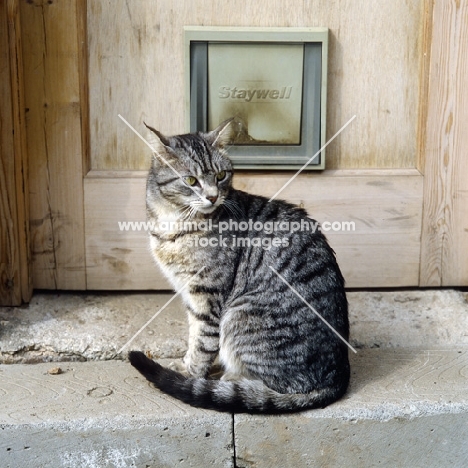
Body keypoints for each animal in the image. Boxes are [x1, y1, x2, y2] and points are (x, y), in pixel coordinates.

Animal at [130, 119, 350, 414]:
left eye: (221, 175)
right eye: (191, 180)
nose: (213, 197)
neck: (173, 224)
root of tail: (338, 377)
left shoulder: (207, 294)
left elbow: (203, 342)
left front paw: (190, 374)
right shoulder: (190, 294)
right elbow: (194, 335)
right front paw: (187, 363)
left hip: (239, 315)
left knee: (273, 386)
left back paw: (232, 380)